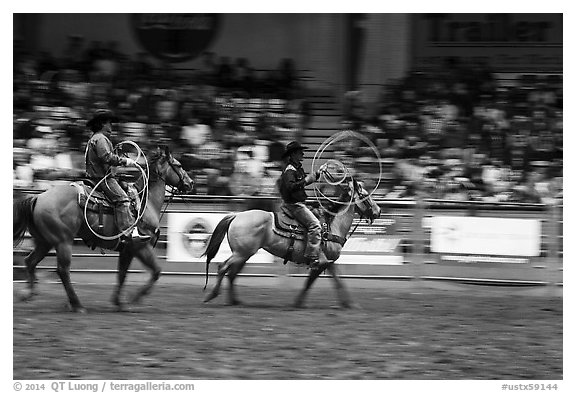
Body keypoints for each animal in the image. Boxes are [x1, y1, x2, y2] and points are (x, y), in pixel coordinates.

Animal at [12, 147, 194, 312]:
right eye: (178, 165)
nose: (191, 183)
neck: (144, 202)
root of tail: (37, 197)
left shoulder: (127, 249)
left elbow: (121, 274)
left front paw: (118, 302)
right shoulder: (141, 246)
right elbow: (156, 272)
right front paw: (133, 299)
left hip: (45, 242)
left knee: (30, 262)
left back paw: (28, 293)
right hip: (63, 241)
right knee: (62, 271)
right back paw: (76, 304)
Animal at [202, 176, 382, 308]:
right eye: (366, 195)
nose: (378, 211)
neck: (332, 225)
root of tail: (236, 216)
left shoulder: (329, 262)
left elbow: (338, 281)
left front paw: (349, 304)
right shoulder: (321, 262)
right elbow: (311, 282)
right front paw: (298, 302)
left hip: (244, 254)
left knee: (231, 273)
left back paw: (234, 301)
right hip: (241, 253)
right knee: (223, 267)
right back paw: (212, 295)